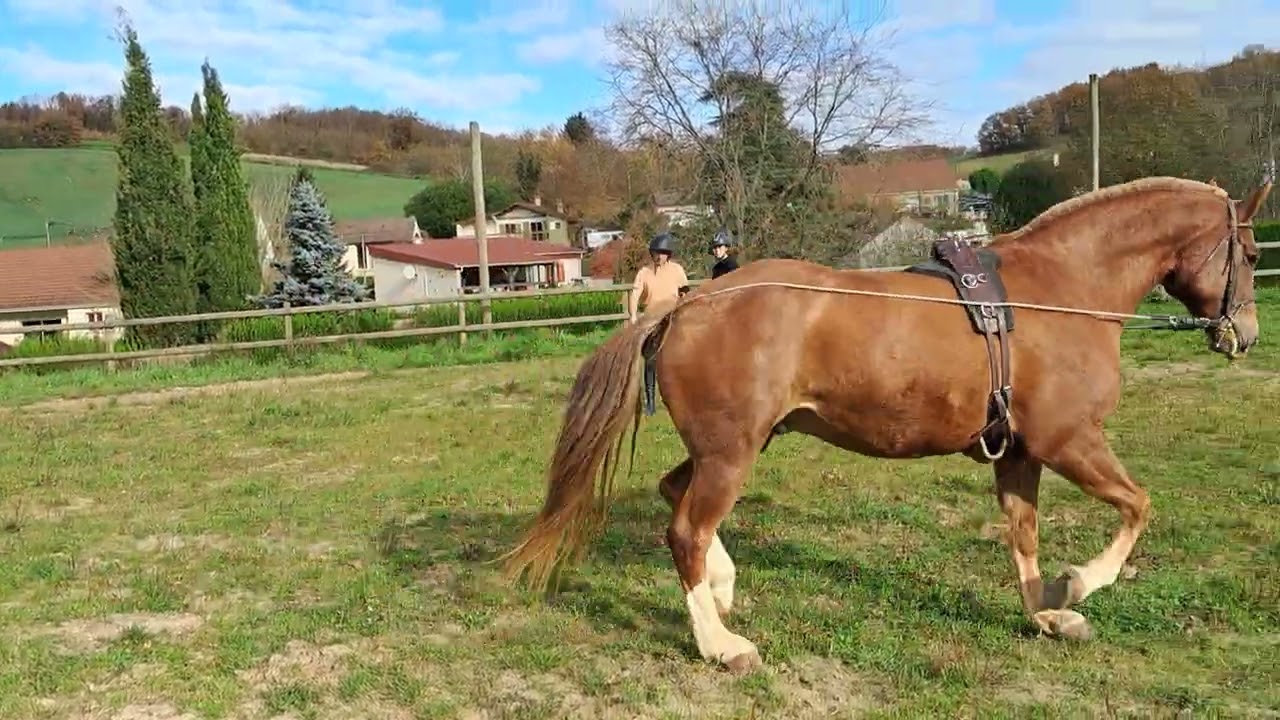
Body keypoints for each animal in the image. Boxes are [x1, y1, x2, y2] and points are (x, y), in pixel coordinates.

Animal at [500, 175, 1271, 673]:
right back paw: (721, 645)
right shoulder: (1069, 441)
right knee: (686, 529)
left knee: (674, 496)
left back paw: (722, 590)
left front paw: (1044, 612)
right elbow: (1138, 507)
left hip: (736, 444)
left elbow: (1023, 537)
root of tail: (686, 305)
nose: (1245, 334)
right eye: (1253, 253)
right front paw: (1077, 585)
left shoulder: (1019, 452)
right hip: (731, 453)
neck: (1057, 293)